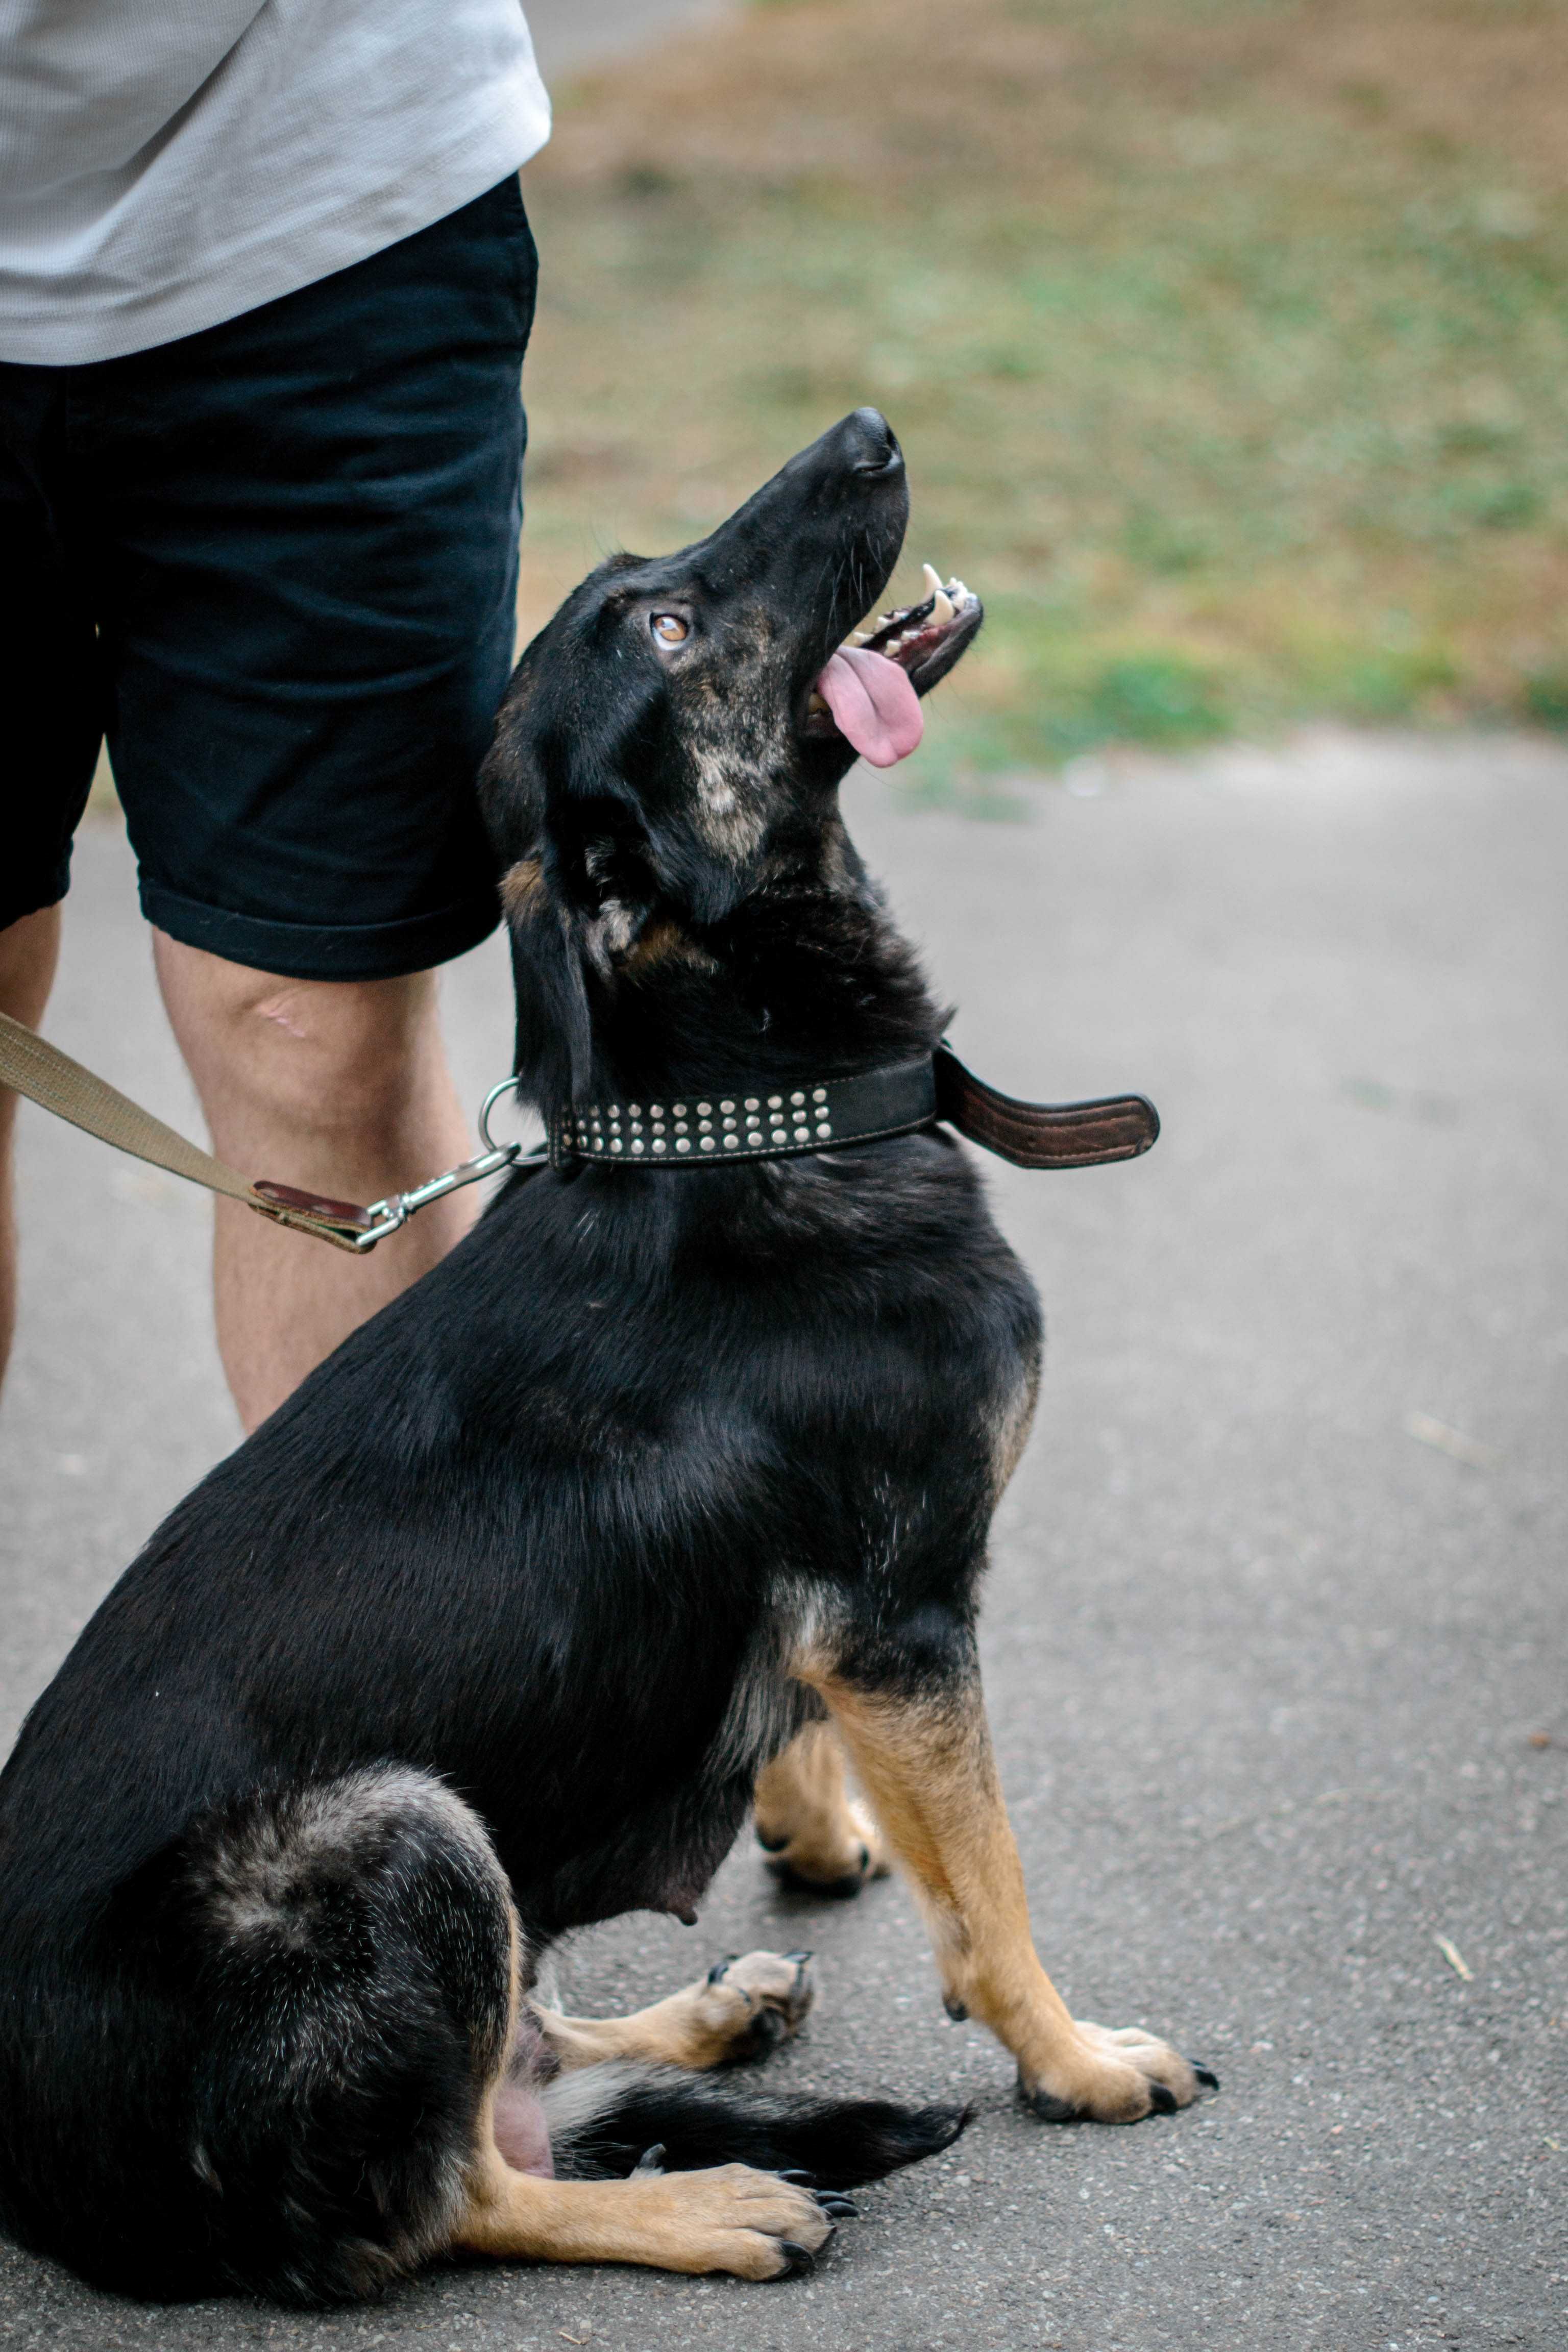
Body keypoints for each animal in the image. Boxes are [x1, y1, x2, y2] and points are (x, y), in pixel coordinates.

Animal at [0, 414, 1204, 2305]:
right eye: (661, 628)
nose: (866, 432)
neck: (746, 1110)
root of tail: (33, 2176)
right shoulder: (906, 1616)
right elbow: (994, 1892)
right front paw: (1074, 2061)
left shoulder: (838, 1626)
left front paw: (817, 1824)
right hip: (402, 1831)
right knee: (436, 2197)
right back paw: (710, 2203)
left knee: (526, 2058)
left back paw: (710, 2025)